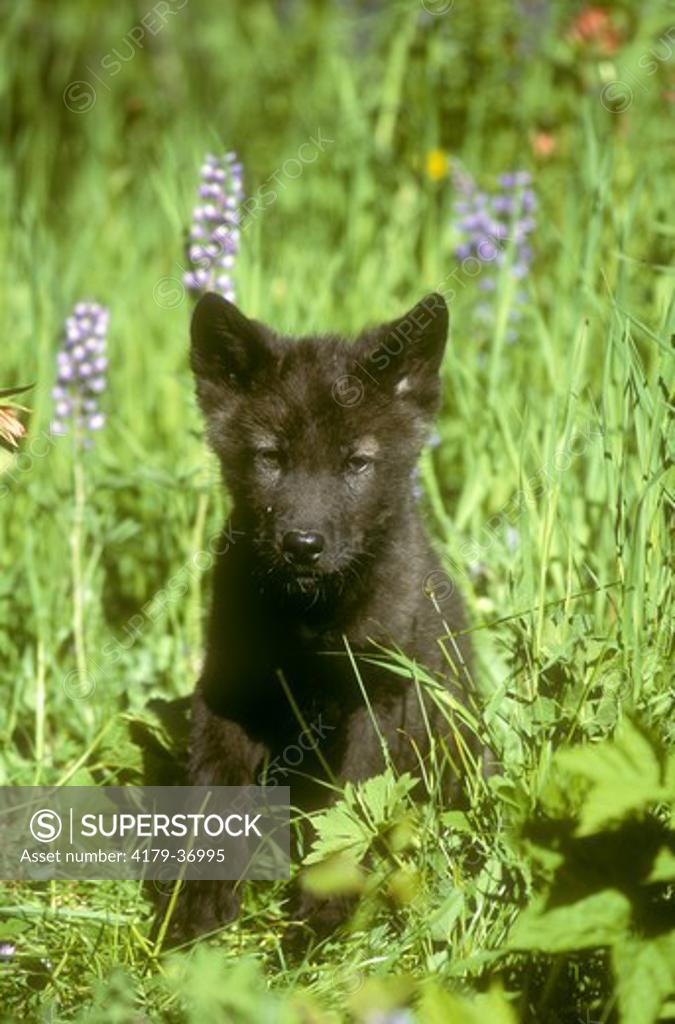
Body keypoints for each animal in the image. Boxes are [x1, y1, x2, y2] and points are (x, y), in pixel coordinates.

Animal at [169, 291, 485, 940]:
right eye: (270, 457)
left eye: (356, 463)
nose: (303, 545)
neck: (309, 613)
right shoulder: (229, 688)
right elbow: (212, 800)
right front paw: (199, 906)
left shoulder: (380, 694)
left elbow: (352, 809)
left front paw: (324, 912)